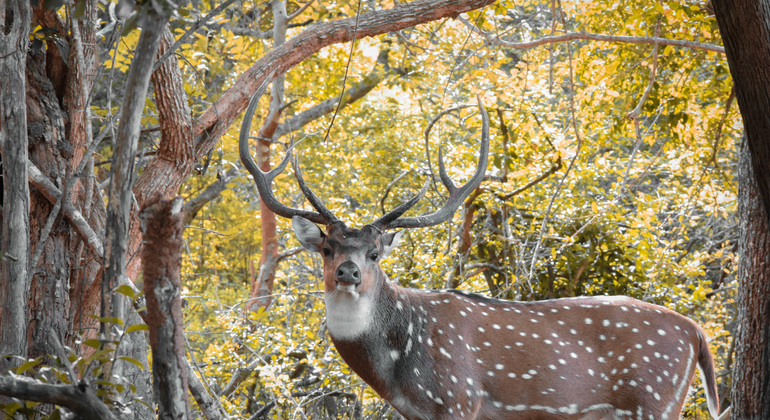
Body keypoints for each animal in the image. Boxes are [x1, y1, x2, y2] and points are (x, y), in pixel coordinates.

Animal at [238, 87, 720, 418]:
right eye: (327, 248)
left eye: (375, 253)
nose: (349, 272)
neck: (396, 370)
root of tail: (697, 332)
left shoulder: (458, 397)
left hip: (654, 398)